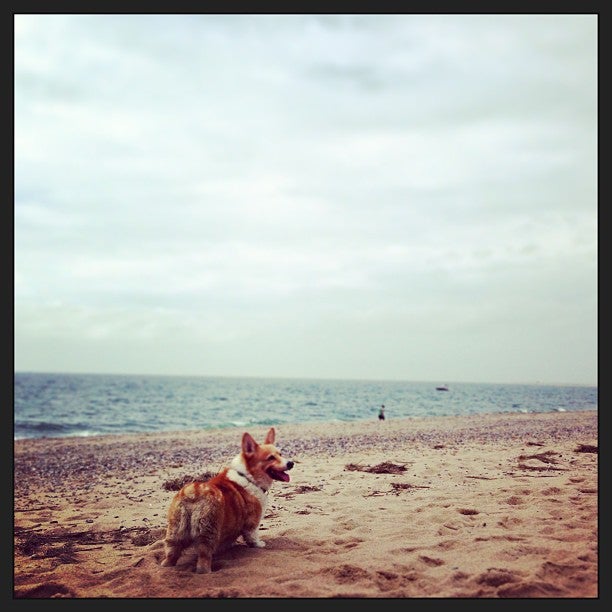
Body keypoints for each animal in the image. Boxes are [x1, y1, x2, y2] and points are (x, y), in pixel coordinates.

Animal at [160, 426, 294, 572]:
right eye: (270, 458)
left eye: (280, 454)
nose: (291, 463)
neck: (249, 477)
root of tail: (193, 493)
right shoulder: (252, 523)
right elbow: (252, 537)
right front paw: (259, 544)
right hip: (208, 533)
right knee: (203, 560)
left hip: (175, 532)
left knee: (171, 555)